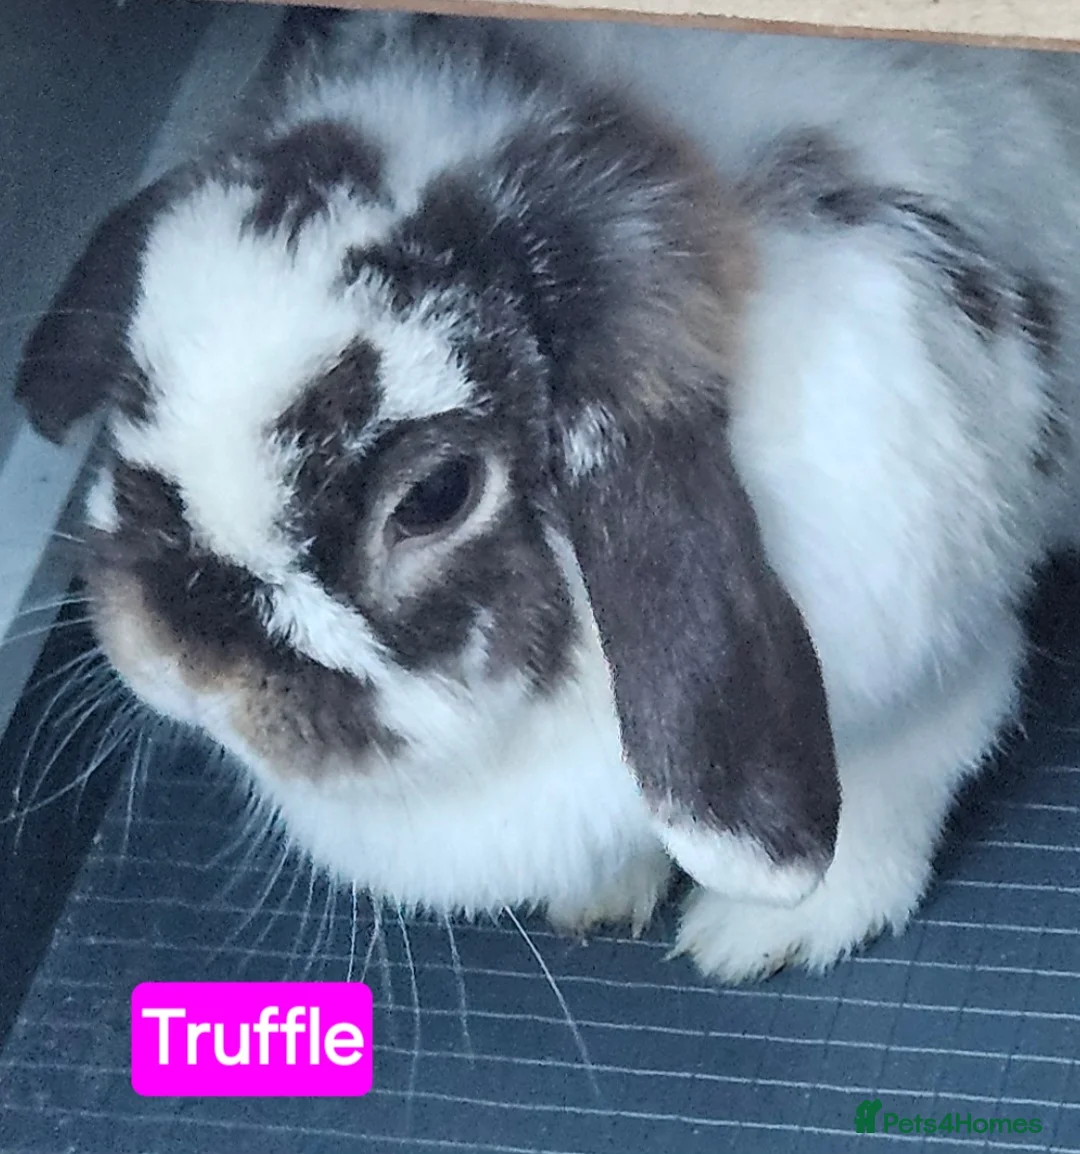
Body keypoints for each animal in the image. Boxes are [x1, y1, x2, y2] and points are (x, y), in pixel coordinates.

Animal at [15, 11, 1080, 982]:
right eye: (136, 390)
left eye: (436, 495)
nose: (180, 665)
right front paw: (600, 897)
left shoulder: (934, 674)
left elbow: (903, 784)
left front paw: (764, 935)